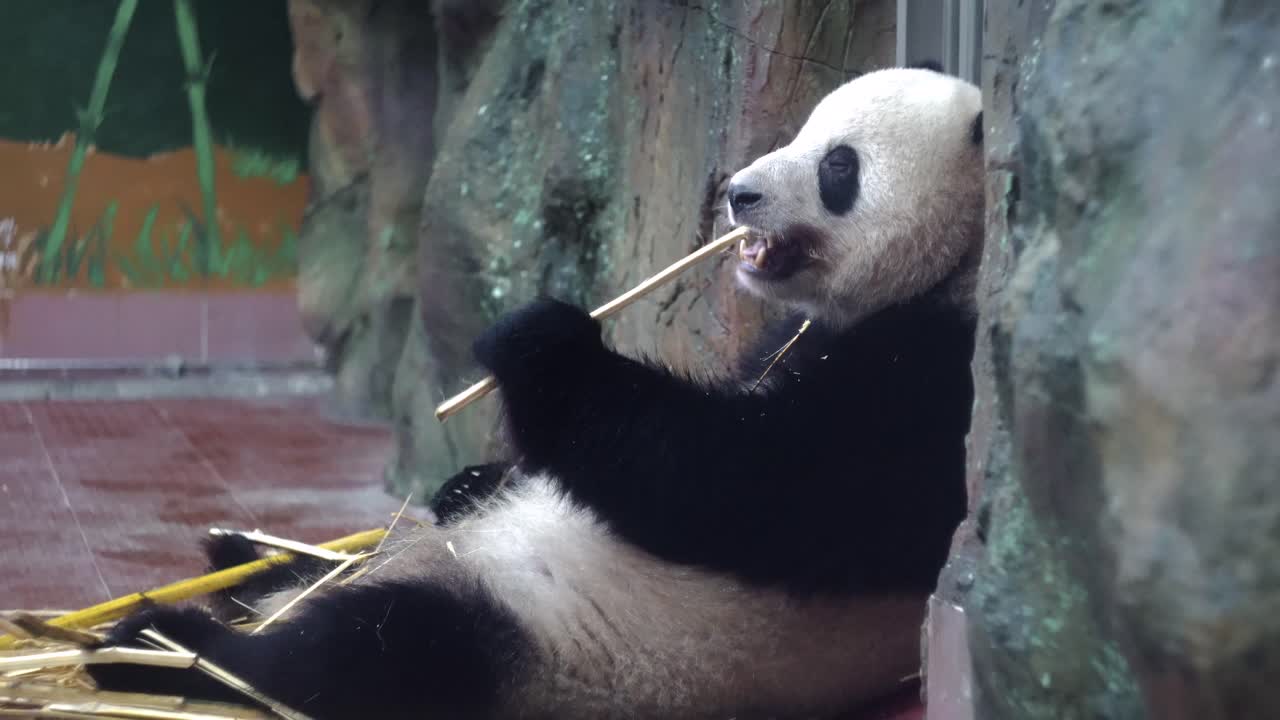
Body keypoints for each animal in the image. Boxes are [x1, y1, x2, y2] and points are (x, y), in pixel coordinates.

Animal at [87, 64, 984, 720]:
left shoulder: (932, 391)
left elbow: (748, 488)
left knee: (374, 649)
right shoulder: (786, 340)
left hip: (550, 642)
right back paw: (243, 557)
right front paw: (469, 476)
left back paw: (165, 644)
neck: (942, 276)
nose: (740, 194)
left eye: (839, 166)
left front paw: (538, 341)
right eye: (802, 133)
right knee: (340, 573)